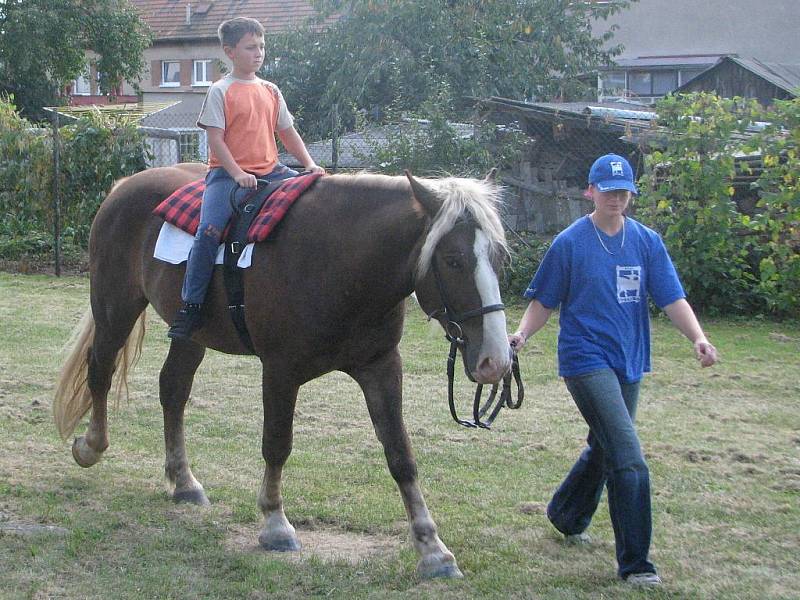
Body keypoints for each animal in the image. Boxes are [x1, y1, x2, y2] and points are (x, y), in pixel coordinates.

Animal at [51, 163, 512, 576]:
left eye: (499, 257)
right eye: (453, 260)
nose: (496, 361)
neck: (339, 262)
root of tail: (125, 186)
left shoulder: (381, 367)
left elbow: (401, 455)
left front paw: (432, 548)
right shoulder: (279, 371)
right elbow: (277, 445)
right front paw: (275, 524)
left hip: (189, 333)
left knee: (173, 390)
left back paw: (184, 482)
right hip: (115, 306)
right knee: (100, 371)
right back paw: (91, 446)